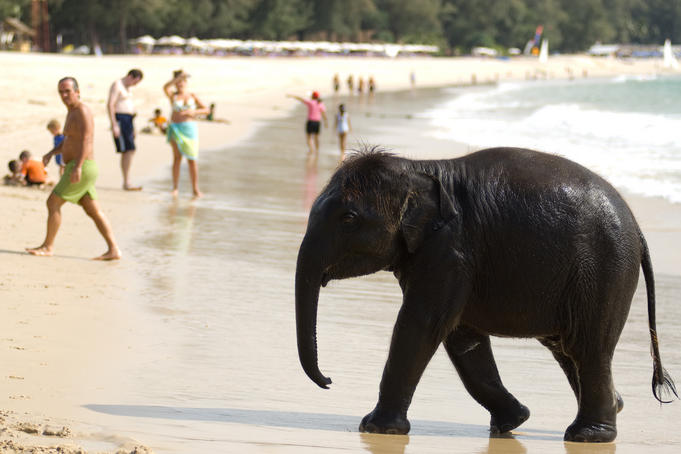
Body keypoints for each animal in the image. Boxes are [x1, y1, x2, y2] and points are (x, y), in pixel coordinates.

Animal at [295, 147, 678, 443]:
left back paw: (588, 436)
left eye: (348, 218)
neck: (418, 168)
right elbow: (462, 336)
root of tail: (638, 229)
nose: (329, 381)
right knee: (567, 350)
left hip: (603, 272)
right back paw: (615, 406)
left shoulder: (451, 251)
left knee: (588, 348)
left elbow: (422, 325)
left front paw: (376, 428)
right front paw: (513, 422)